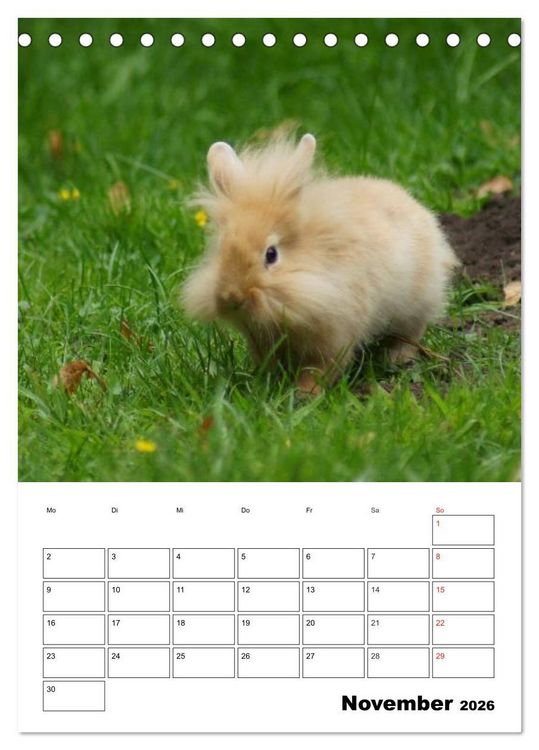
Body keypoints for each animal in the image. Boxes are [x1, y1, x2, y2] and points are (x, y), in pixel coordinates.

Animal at [182, 133, 459, 395]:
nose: (232, 298)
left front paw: (304, 394)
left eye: (271, 254)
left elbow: (319, 368)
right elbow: (269, 364)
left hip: (416, 304)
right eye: (222, 250)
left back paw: (396, 359)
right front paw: (267, 386)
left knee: (411, 331)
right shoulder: (261, 340)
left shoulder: (334, 338)